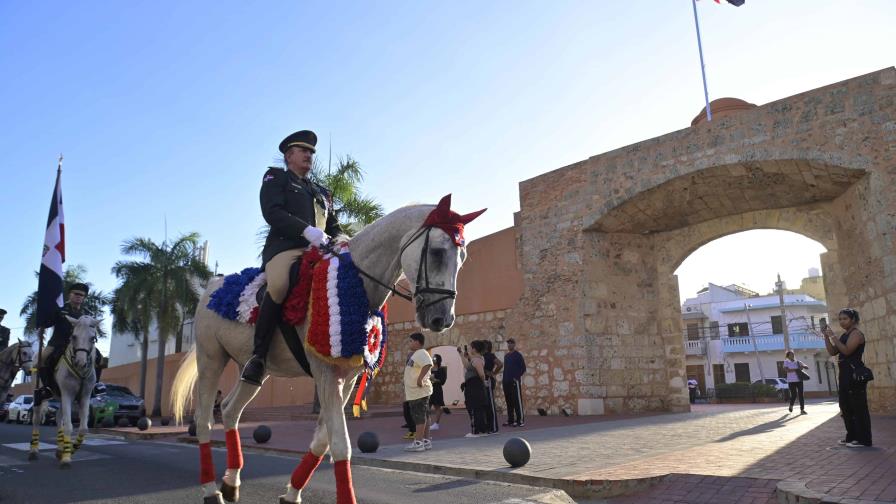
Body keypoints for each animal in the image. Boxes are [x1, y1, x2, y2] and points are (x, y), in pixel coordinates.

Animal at [29, 316, 99, 468]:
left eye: (92, 338)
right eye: (74, 336)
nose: (80, 362)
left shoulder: (84, 396)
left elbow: (83, 428)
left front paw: (70, 450)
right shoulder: (67, 394)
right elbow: (68, 426)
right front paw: (66, 458)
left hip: (60, 397)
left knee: (58, 417)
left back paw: (60, 448)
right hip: (40, 394)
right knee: (37, 417)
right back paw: (34, 451)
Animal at [172, 196, 486, 504]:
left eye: (462, 258)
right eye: (436, 252)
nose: (442, 319)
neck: (356, 281)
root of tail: (211, 286)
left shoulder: (346, 379)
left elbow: (322, 441)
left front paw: (292, 493)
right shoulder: (326, 374)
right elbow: (340, 445)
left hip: (253, 370)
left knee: (229, 410)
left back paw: (231, 482)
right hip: (211, 358)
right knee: (203, 420)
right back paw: (211, 490)